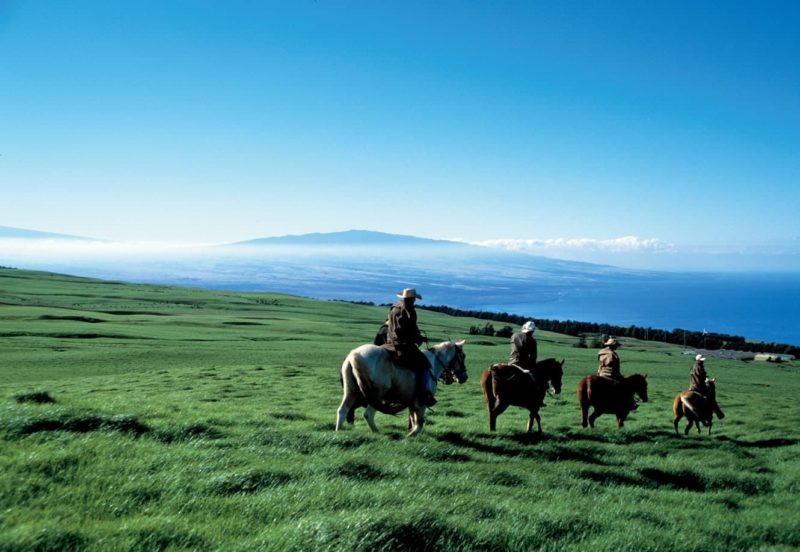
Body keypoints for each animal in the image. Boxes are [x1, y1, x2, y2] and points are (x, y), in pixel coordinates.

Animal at [332, 338, 468, 438]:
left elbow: (413, 419)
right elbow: (419, 423)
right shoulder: (421, 402)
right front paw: (410, 435)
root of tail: (354, 355)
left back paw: (339, 432)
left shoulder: (412, 402)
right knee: (368, 414)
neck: (433, 364)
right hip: (377, 395)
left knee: (343, 410)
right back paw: (377, 433)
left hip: (352, 391)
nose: (464, 377)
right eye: (463, 355)